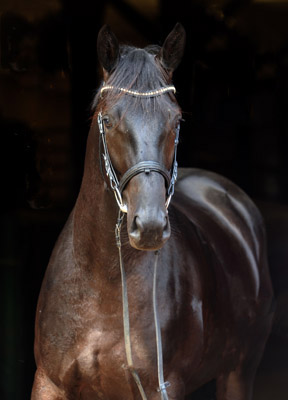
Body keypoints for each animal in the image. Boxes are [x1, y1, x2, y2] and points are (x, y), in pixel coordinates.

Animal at [30, 23, 274, 398]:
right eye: (108, 120)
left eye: (176, 120)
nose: (149, 227)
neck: (104, 280)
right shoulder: (48, 382)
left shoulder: (163, 385)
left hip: (238, 371)